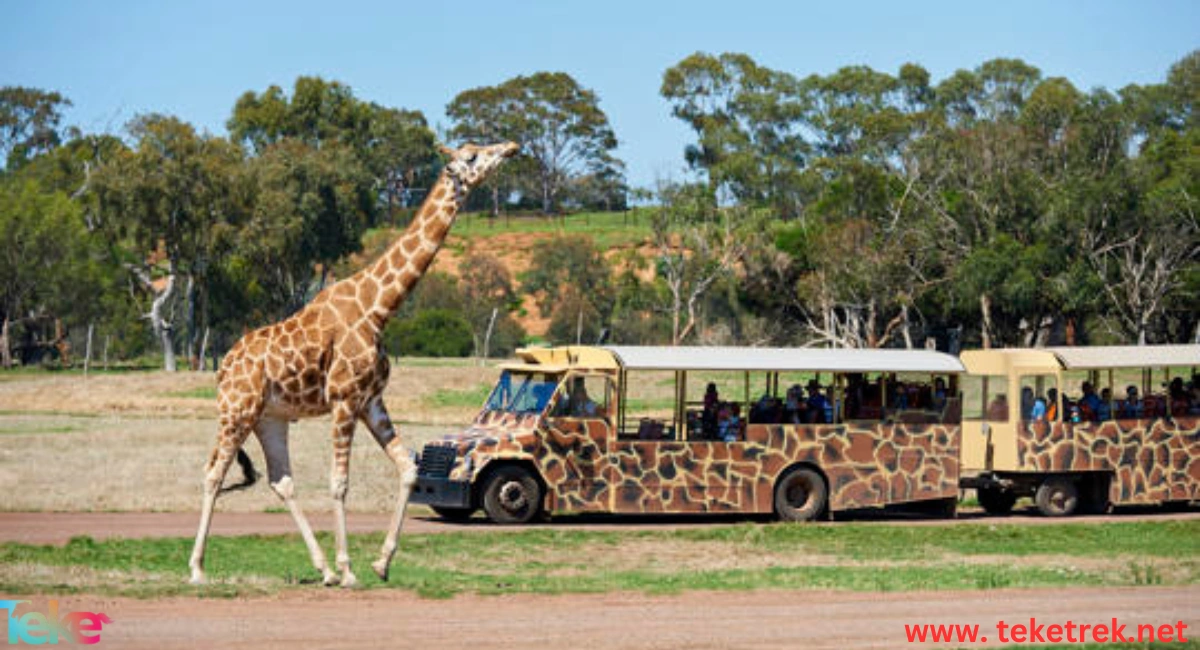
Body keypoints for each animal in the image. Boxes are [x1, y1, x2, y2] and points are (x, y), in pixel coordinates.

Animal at [188, 140, 520, 587]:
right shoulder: (344, 399)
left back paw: (322, 569)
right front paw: (349, 569)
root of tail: (222, 367)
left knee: (281, 480)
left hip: (269, 417)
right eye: (470, 156)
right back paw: (197, 569)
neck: (378, 308)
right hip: (236, 411)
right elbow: (339, 482)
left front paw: (382, 562)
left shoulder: (371, 400)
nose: (511, 147)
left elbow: (408, 469)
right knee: (213, 472)